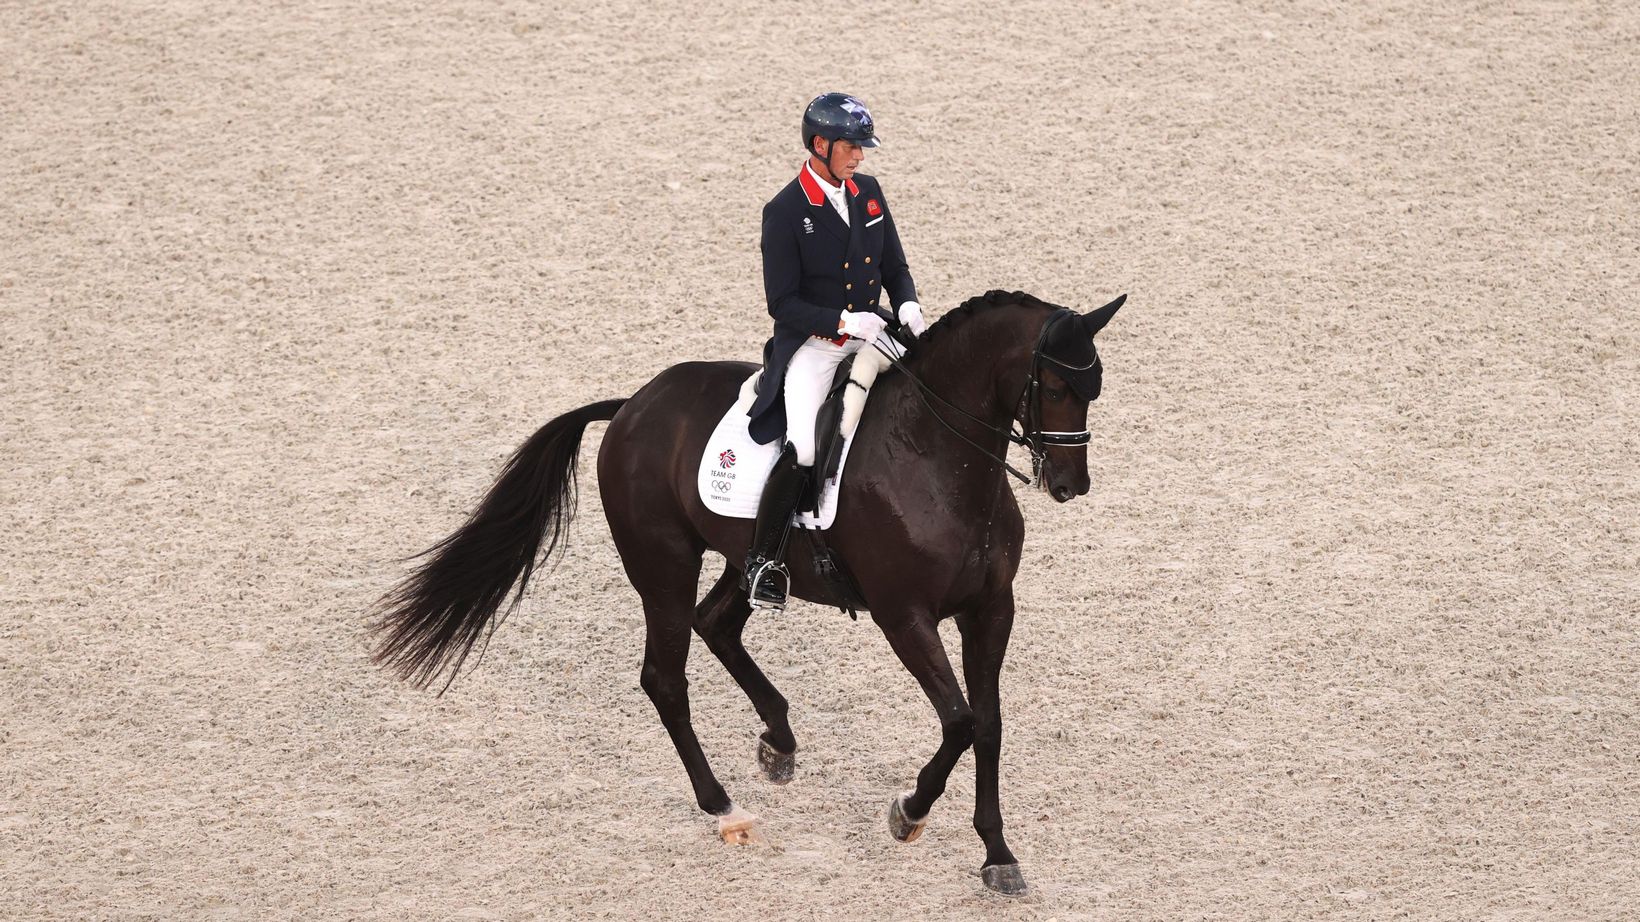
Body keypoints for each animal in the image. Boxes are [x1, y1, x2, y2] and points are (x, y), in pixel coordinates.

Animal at [370, 285, 1121, 892]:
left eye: (1095, 388)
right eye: (1056, 387)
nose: (1069, 485)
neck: (937, 458)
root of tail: (634, 405)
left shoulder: (991, 609)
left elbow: (988, 725)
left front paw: (997, 854)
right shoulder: (904, 616)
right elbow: (960, 721)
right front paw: (907, 813)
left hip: (744, 557)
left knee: (718, 624)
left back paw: (778, 742)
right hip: (663, 567)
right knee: (666, 677)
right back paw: (725, 808)